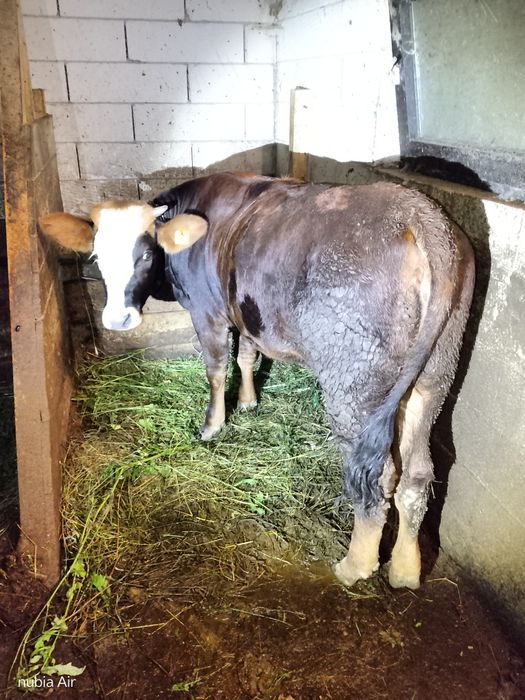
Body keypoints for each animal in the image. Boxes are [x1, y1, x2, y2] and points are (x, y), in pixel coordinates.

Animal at [39, 172, 475, 590]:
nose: (117, 320)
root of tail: (418, 215)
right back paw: (405, 570)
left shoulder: (208, 311)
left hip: (354, 381)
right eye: (96, 255)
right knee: (417, 473)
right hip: (434, 375)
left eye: (145, 254)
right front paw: (249, 401)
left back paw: (355, 565)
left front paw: (212, 425)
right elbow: (247, 354)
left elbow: (216, 368)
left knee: (374, 477)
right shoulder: (245, 307)